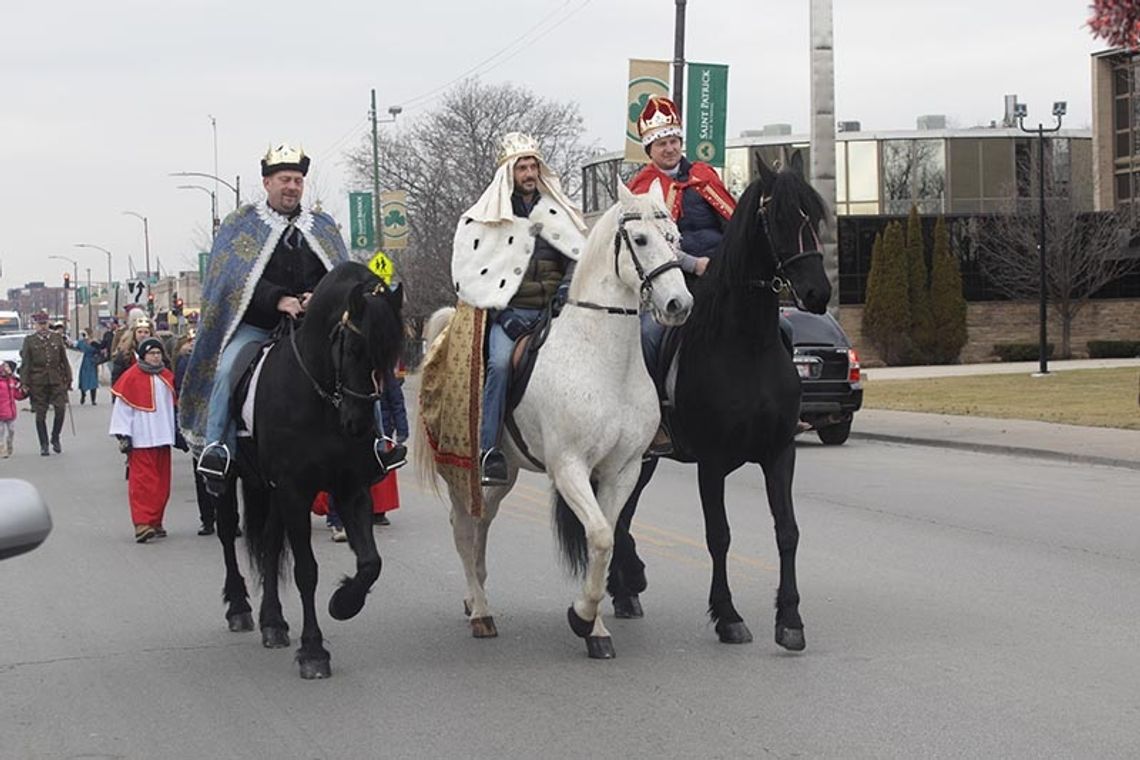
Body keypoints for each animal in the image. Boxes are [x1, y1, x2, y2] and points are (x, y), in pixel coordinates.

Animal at [210, 262, 405, 679]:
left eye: (390, 355)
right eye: (354, 348)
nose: (358, 424)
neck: (319, 400)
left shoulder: (350, 488)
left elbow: (370, 563)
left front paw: (344, 602)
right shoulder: (294, 490)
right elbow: (306, 572)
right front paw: (313, 651)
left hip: (268, 489)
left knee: (269, 543)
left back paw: (273, 622)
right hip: (229, 479)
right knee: (227, 533)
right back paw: (239, 607)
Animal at [417, 185, 688, 660]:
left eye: (675, 237)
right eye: (640, 240)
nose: (679, 304)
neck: (603, 360)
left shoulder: (622, 470)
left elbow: (606, 541)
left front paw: (595, 629)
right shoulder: (569, 468)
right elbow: (599, 536)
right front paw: (580, 618)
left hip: (502, 476)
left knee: (481, 525)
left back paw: (475, 596)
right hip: (461, 470)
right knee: (463, 528)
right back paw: (481, 612)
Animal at [611, 154, 834, 656]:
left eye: (817, 215)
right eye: (779, 217)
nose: (818, 294)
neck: (744, 345)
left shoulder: (779, 453)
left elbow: (787, 530)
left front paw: (790, 619)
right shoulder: (711, 463)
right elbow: (719, 535)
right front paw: (728, 616)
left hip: (645, 461)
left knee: (622, 513)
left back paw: (623, 587)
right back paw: (625, 582)